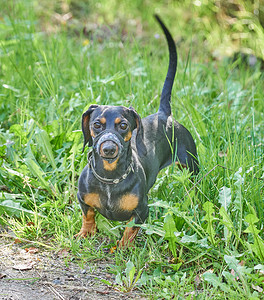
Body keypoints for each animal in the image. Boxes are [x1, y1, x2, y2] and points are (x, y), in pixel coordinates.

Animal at [75, 15, 199, 247]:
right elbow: (88, 215)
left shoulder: (142, 210)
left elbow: (130, 229)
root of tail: (163, 115)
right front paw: (86, 233)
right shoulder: (82, 199)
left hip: (191, 166)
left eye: (123, 125)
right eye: (96, 124)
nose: (108, 149)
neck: (110, 178)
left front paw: (122, 247)